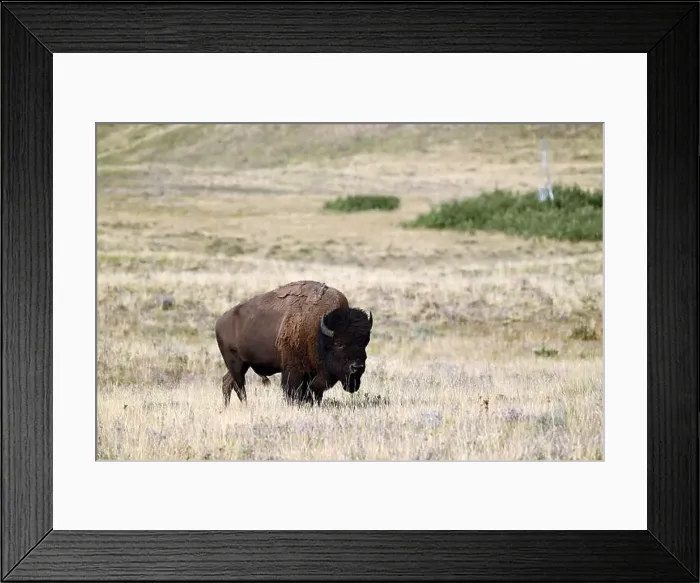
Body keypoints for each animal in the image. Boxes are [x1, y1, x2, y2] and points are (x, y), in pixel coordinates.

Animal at [215, 280, 373, 407]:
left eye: (365, 343)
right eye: (339, 344)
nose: (357, 367)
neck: (318, 330)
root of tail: (220, 321)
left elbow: (314, 393)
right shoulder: (294, 370)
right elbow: (294, 391)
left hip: (243, 364)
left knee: (227, 382)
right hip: (236, 362)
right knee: (239, 384)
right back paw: (245, 405)